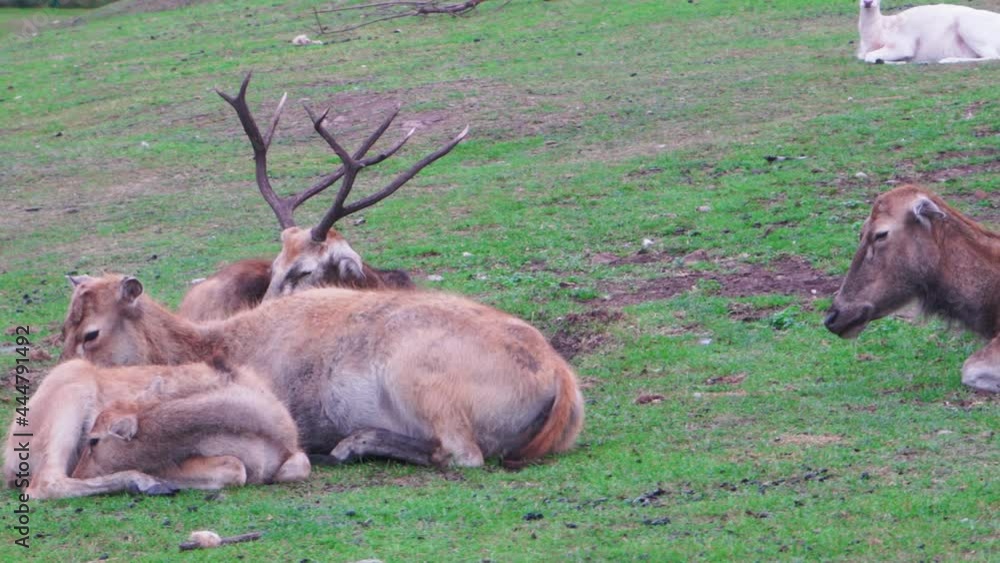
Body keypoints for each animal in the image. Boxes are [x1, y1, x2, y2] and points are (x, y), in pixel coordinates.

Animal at [3, 357, 307, 499]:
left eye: (94, 440)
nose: (80, 469)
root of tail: (8, 456)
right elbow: (235, 468)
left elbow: (299, 466)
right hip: (68, 397)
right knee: (45, 483)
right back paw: (147, 483)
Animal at [55, 272, 584, 474]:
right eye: (64, 325)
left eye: (92, 333)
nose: (60, 377)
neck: (219, 343)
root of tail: (562, 379)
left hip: (417, 374)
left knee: (463, 454)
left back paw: (353, 444)